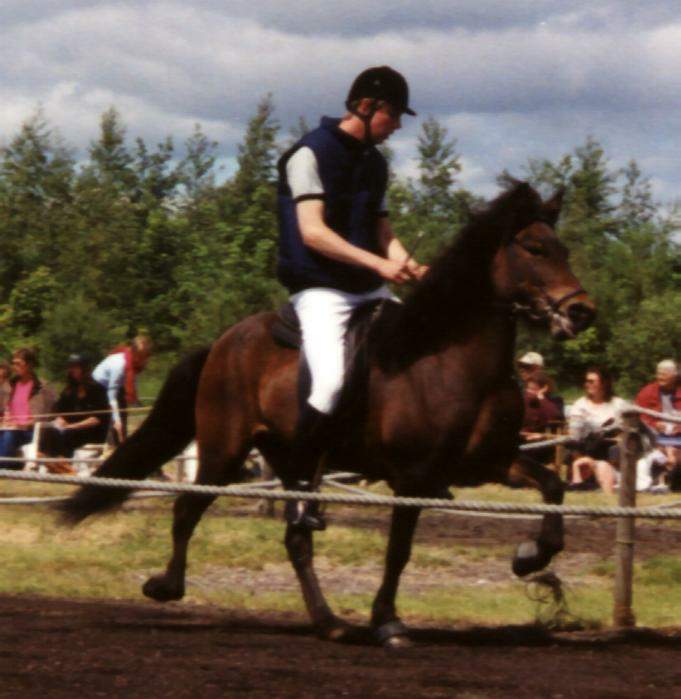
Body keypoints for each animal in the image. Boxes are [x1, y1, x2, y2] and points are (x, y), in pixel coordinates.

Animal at [63, 183, 596, 648]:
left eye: (564, 249)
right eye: (534, 248)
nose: (582, 312)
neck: (449, 359)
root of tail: (223, 342)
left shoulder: (488, 464)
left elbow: (553, 487)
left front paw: (529, 558)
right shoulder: (414, 478)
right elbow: (398, 551)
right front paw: (388, 622)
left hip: (292, 461)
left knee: (296, 539)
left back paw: (330, 623)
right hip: (224, 450)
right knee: (188, 509)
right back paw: (167, 586)